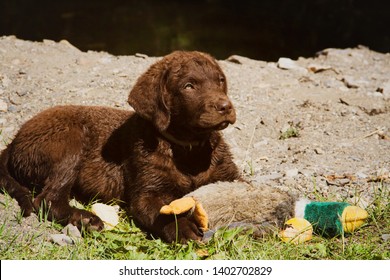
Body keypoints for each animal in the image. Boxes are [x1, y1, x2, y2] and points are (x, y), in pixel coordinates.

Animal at [0, 50, 241, 243]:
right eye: (189, 86)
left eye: (220, 80)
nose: (226, 106)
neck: (188, 150)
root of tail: (16, 139)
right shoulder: (145, 193)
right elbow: (160, 213)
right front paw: (182, 228)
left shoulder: (231, 177)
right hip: (71, 143)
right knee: (48, 199)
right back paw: (86, 218)